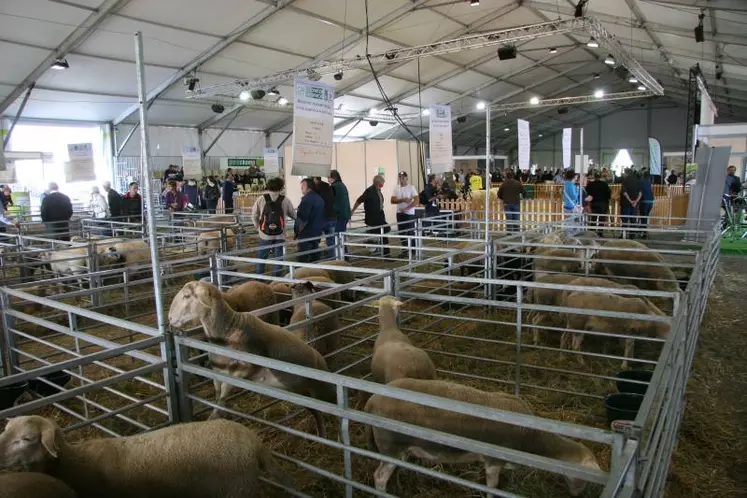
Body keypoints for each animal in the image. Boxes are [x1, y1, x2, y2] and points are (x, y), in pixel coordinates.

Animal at [169, 282, 336, 434]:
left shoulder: (243, 371)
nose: (170, 318)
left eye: (187, 296)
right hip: (304, 395)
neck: (229, 329)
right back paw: (321, 434)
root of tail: (320, 358)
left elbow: (223, 395)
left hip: (323, 390)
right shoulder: (216, 372)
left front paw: (214, 418)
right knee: (317, 414)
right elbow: (218, 396)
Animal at [364, 380, 600, 496]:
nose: (577, 495)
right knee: (379, 477)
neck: (533, 437)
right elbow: (492, 487)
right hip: (391, 446)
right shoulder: (493, 461)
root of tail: (372, 400)